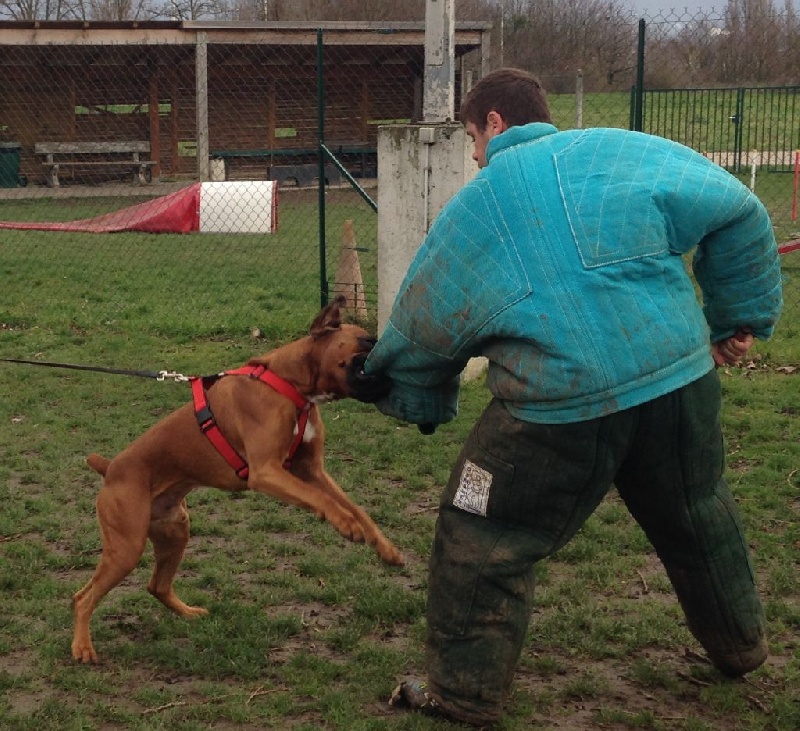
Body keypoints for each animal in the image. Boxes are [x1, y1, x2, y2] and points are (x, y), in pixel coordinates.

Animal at [72, 296, 404, 664]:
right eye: (367, 341)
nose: (394, 361)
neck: (290, 385)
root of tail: (110, 468)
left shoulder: (313, 471)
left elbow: (357, 508)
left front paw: (384, 547)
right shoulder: (268, 472)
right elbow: (321, 500)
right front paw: (345, 524)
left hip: (175, 532)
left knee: (156, 586)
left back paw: (189, 614)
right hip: (126, 547)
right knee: (82, 598)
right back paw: (82, 647)